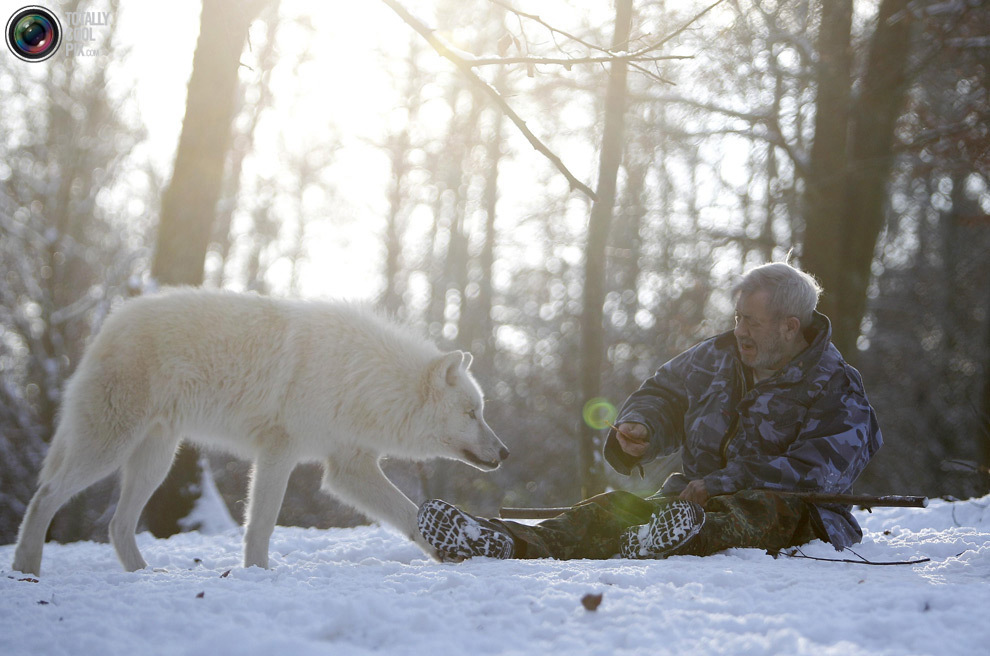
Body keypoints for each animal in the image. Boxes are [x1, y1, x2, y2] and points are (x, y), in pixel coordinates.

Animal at [13, 290, 512, 576]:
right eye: (472, 413)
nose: (505, 453)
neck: (361, 376)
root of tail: (110, 323)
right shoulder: (280, 453)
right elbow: (261, 525)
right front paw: (257, 575)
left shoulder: (347, 469)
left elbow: (408, 516)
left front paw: (449, 552)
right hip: (109, 448)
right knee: (44, 497)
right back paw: (26, 569)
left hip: (155, 460)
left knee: (117, 524)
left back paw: (145, 575)